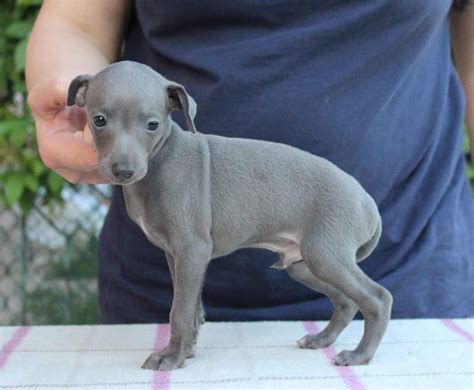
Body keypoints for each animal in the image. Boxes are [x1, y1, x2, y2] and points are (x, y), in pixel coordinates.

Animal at [66, 61, 392, 372]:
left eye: (152, 124)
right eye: (98, 120)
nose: (124, 171)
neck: (160, 160)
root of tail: (367, 202)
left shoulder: (192, 250)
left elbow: (179, 311)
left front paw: (170, 358)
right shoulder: (178, 255)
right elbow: (193, 309)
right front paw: (186, 351)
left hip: (325, 253)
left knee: (378, 298)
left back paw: (359, 355)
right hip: (303, 264)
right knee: (346, 301)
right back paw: (320, 340)